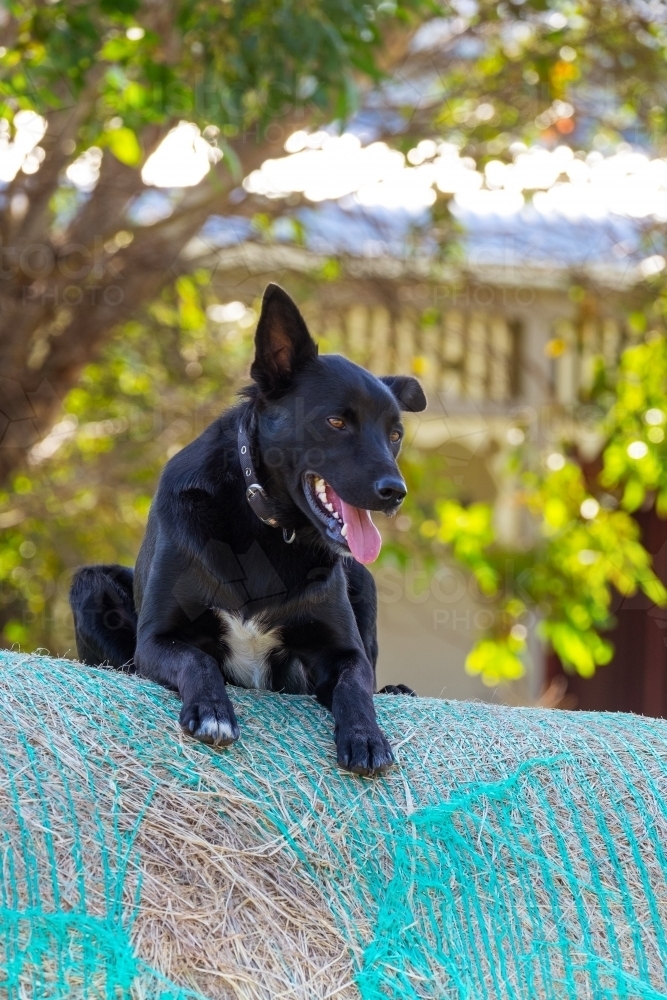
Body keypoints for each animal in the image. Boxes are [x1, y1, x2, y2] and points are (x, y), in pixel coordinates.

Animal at [70, 286, 426, 776]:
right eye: (336, 421)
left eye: (395, 435)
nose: (395, 492)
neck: (268, 528)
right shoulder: (157, 641)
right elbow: (197, 658)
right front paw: (212, 711)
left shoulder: (343, 653)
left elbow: (355, 686)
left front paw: (365, 736)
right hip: (91, 585)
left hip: (363, 580)